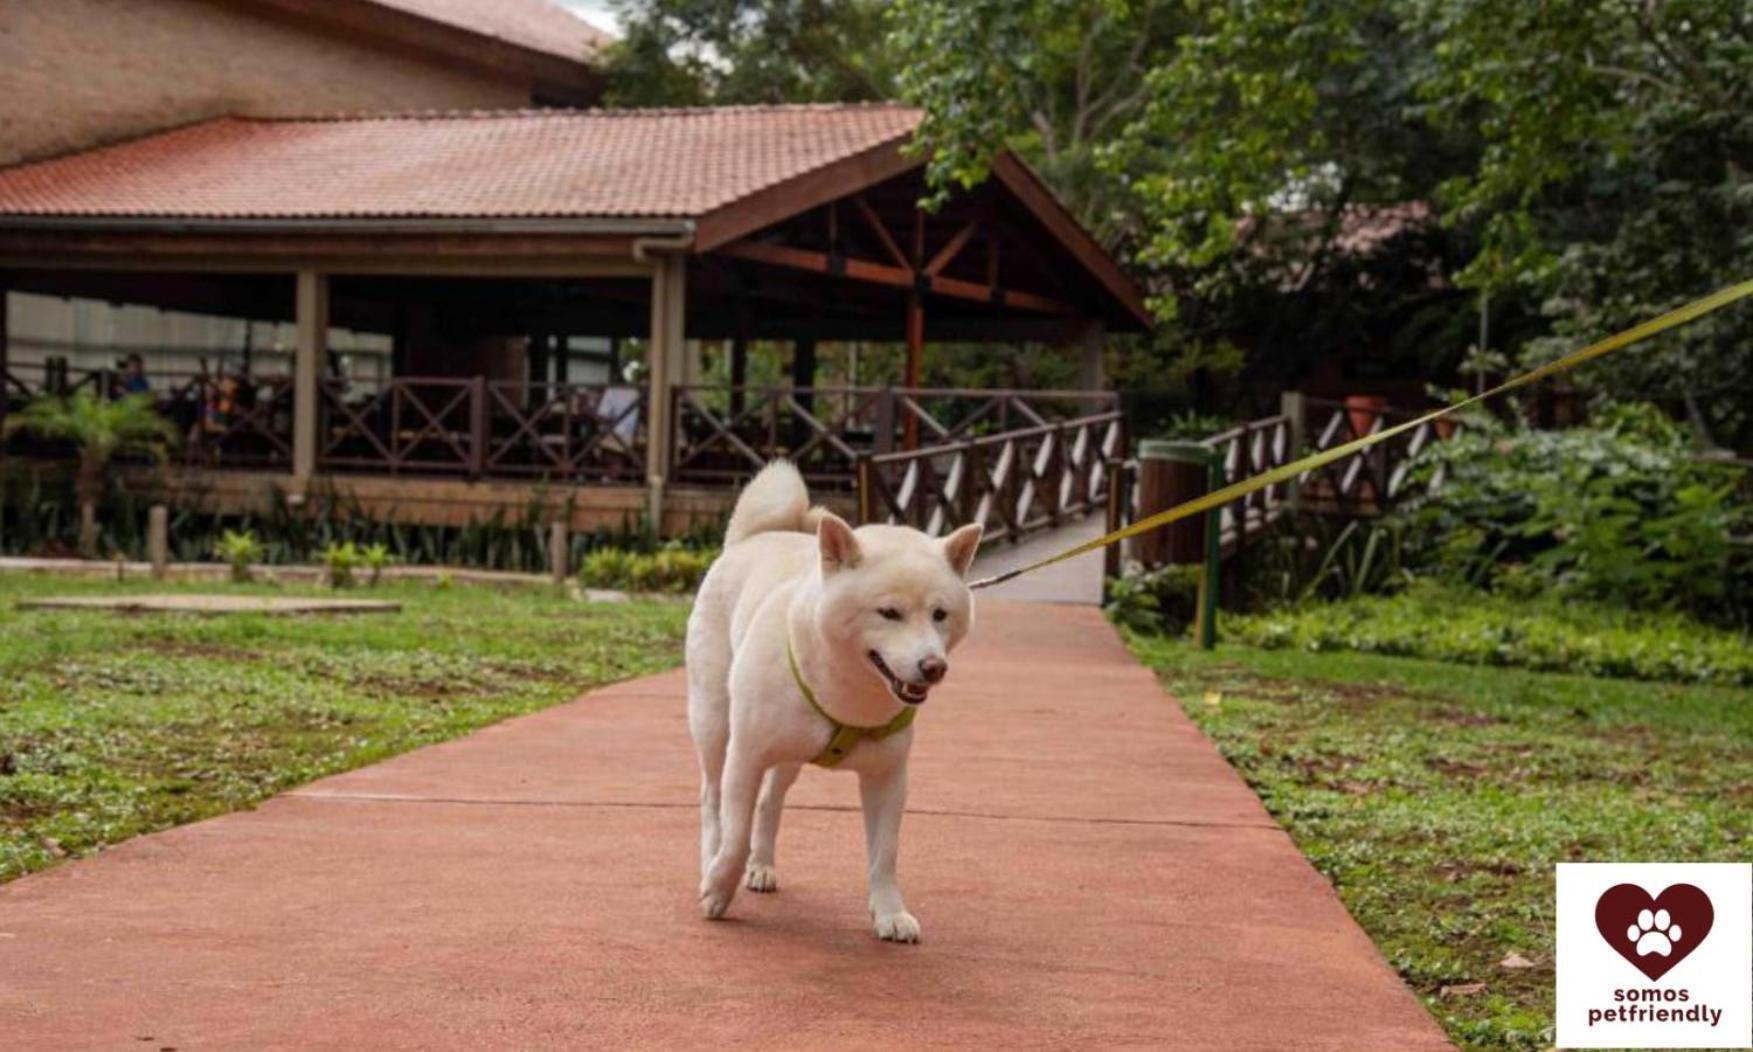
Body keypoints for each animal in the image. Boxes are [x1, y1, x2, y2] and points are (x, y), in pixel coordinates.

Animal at [687, 459, 988, 946]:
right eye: (889, 613)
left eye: (941, 614)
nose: (933, 667)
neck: (849, 697)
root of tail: (754, 538)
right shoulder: (745, 756)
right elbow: (734, 832)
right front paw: (718, 887)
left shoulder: (888, 777)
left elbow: (885, 854)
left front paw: (890, 913)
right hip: (714, 724)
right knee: (712, 801)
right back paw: (710, 860)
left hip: (789, 755)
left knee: (771, 800)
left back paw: (762, 864)